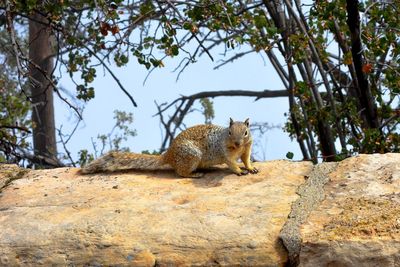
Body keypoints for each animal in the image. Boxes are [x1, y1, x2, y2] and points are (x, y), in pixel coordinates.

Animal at [80, 119, 260, 178]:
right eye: (230, 132)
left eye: (245, 132)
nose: (237, 143)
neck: (238, 148)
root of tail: (168, 155)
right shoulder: (225, 152)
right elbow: (231, 163)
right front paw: (239, 171)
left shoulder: (247, 148)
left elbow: (246, 159)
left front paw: (251, 168)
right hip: (192, 155)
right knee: (180, 173)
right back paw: (195, 174)